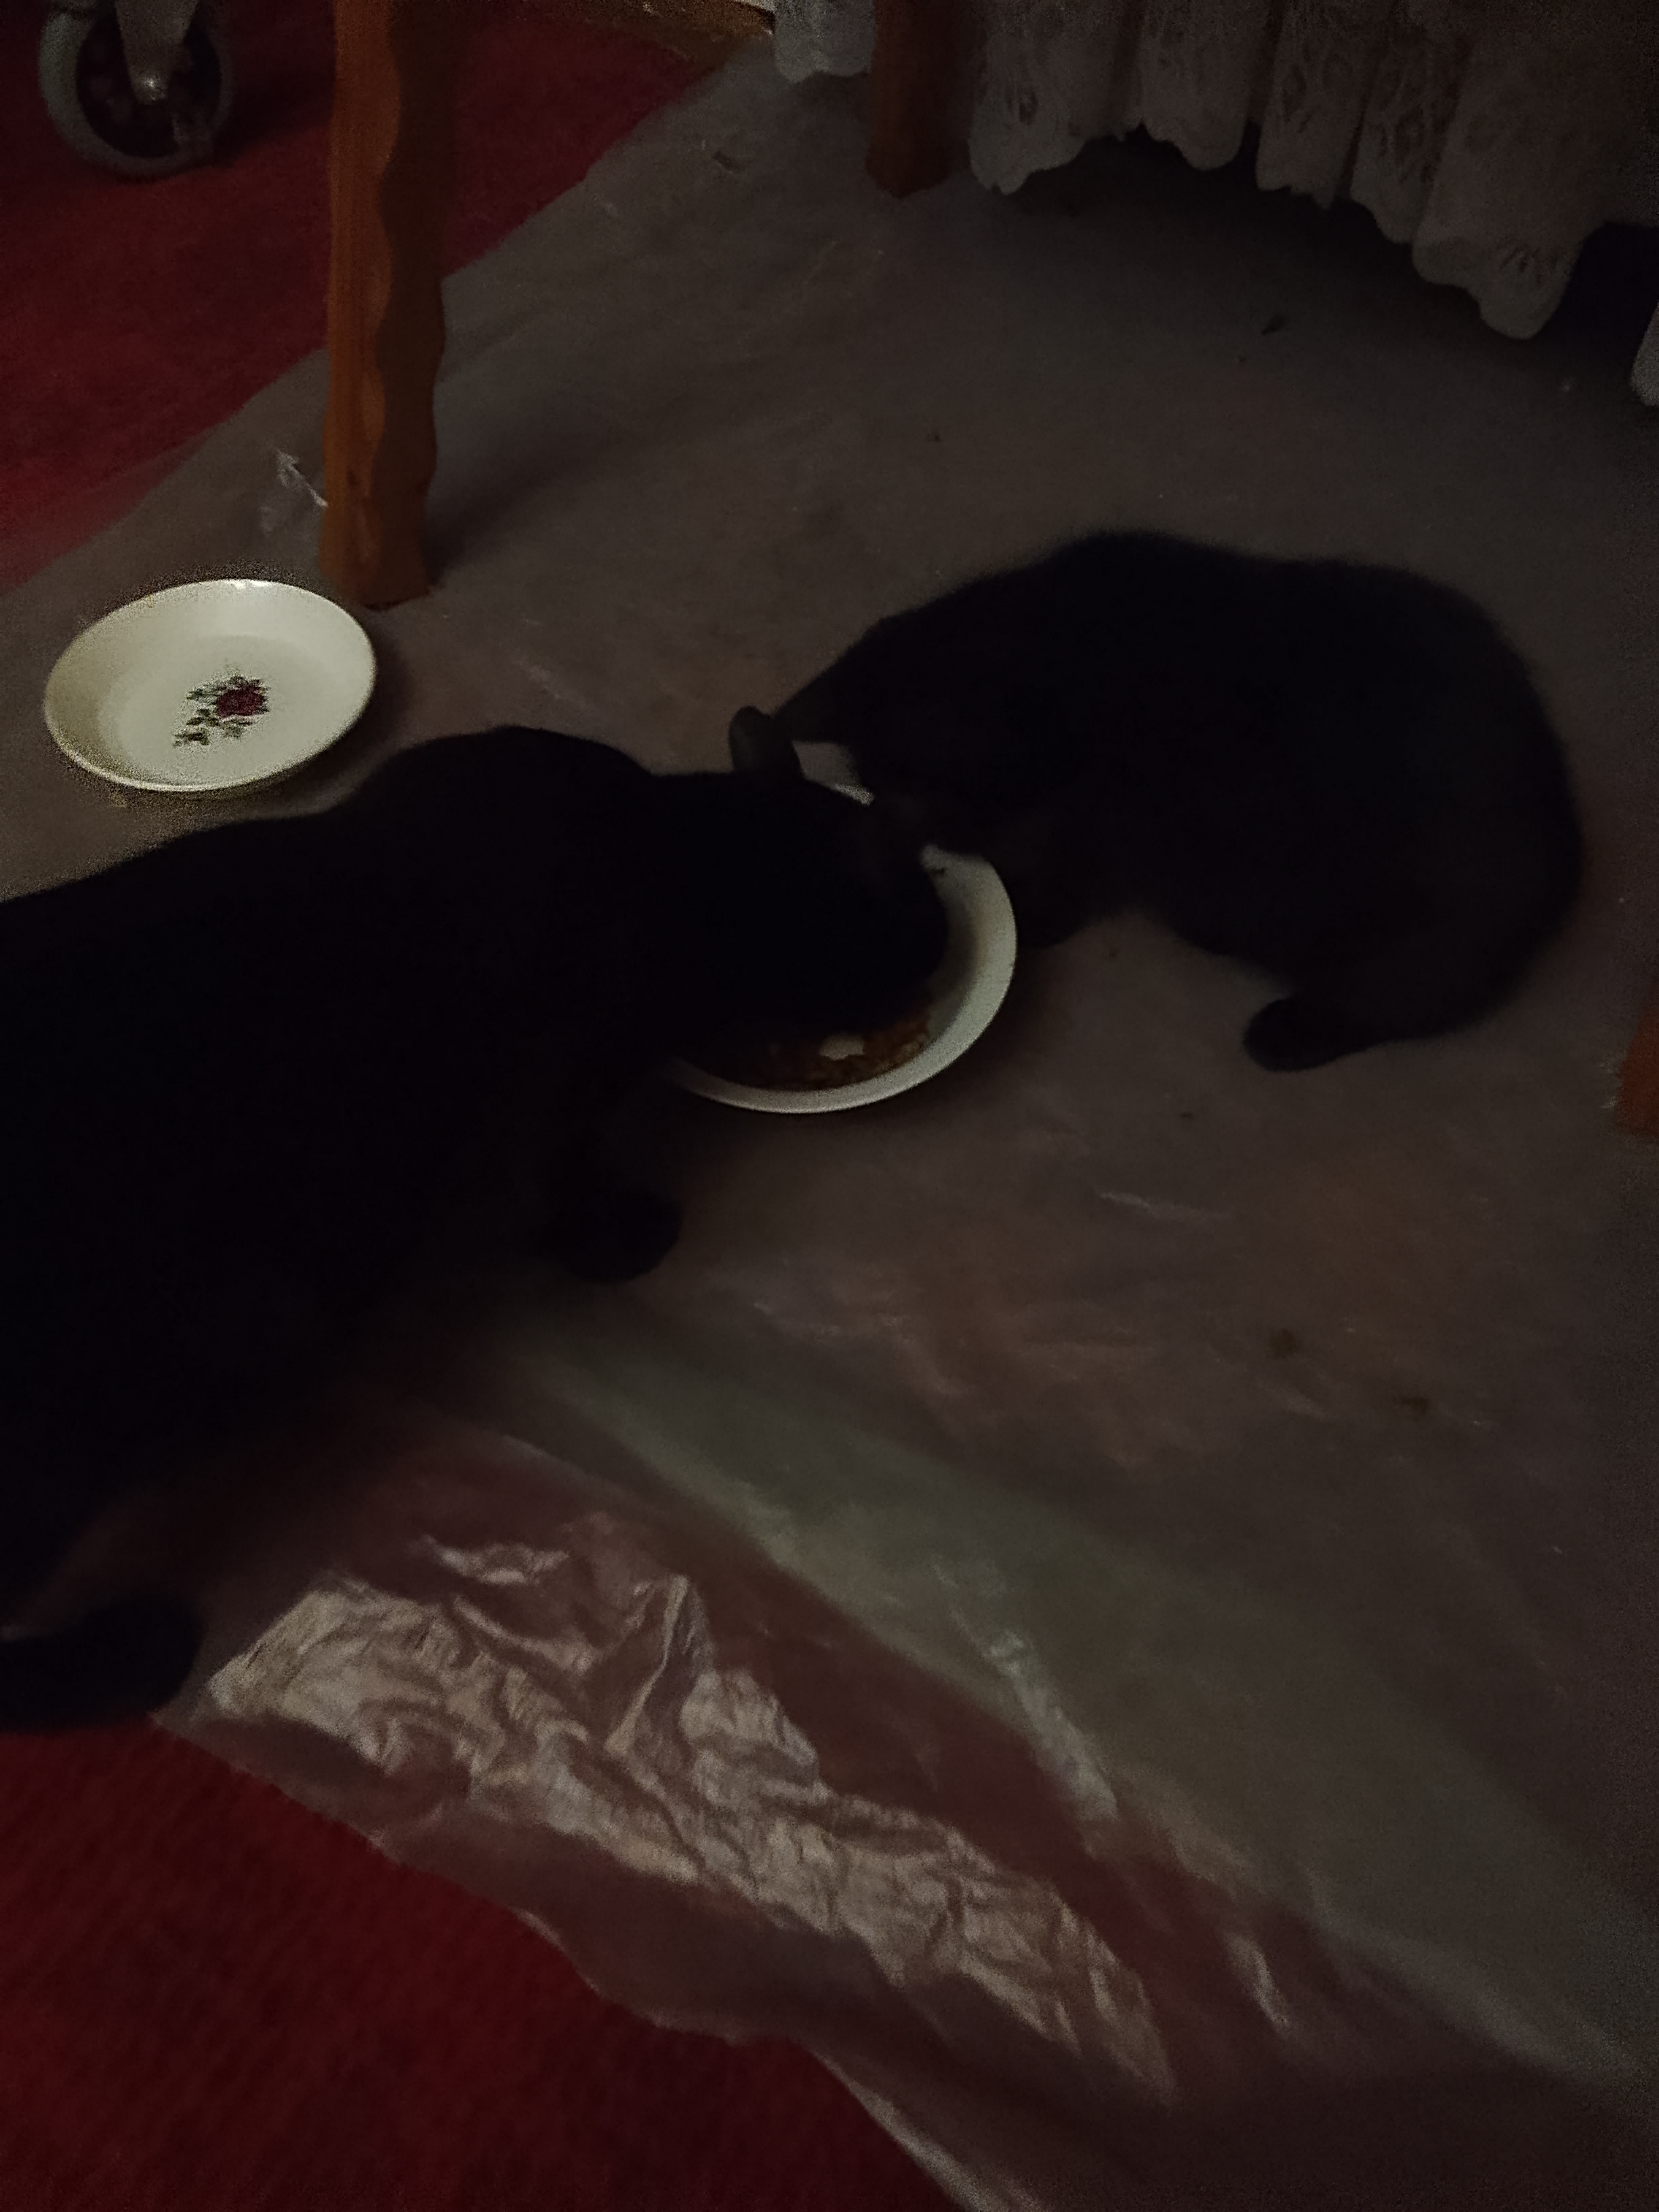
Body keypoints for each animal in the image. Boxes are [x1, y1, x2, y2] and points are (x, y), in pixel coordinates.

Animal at [0, 721, 946, 1732]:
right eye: (925, 917)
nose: (947, 940)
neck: (667, 846)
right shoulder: (542, 1118)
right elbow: (561, 1200)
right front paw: (628, 1238)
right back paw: (130, 1656)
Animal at [731, 531, 1583, 1072]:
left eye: (938, 814)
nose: (948, 845)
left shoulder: (1089, 814)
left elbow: (1056, 871)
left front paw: (1031, 917)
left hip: (1422, 919)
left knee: (1408, 996)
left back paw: (1284, 1029)